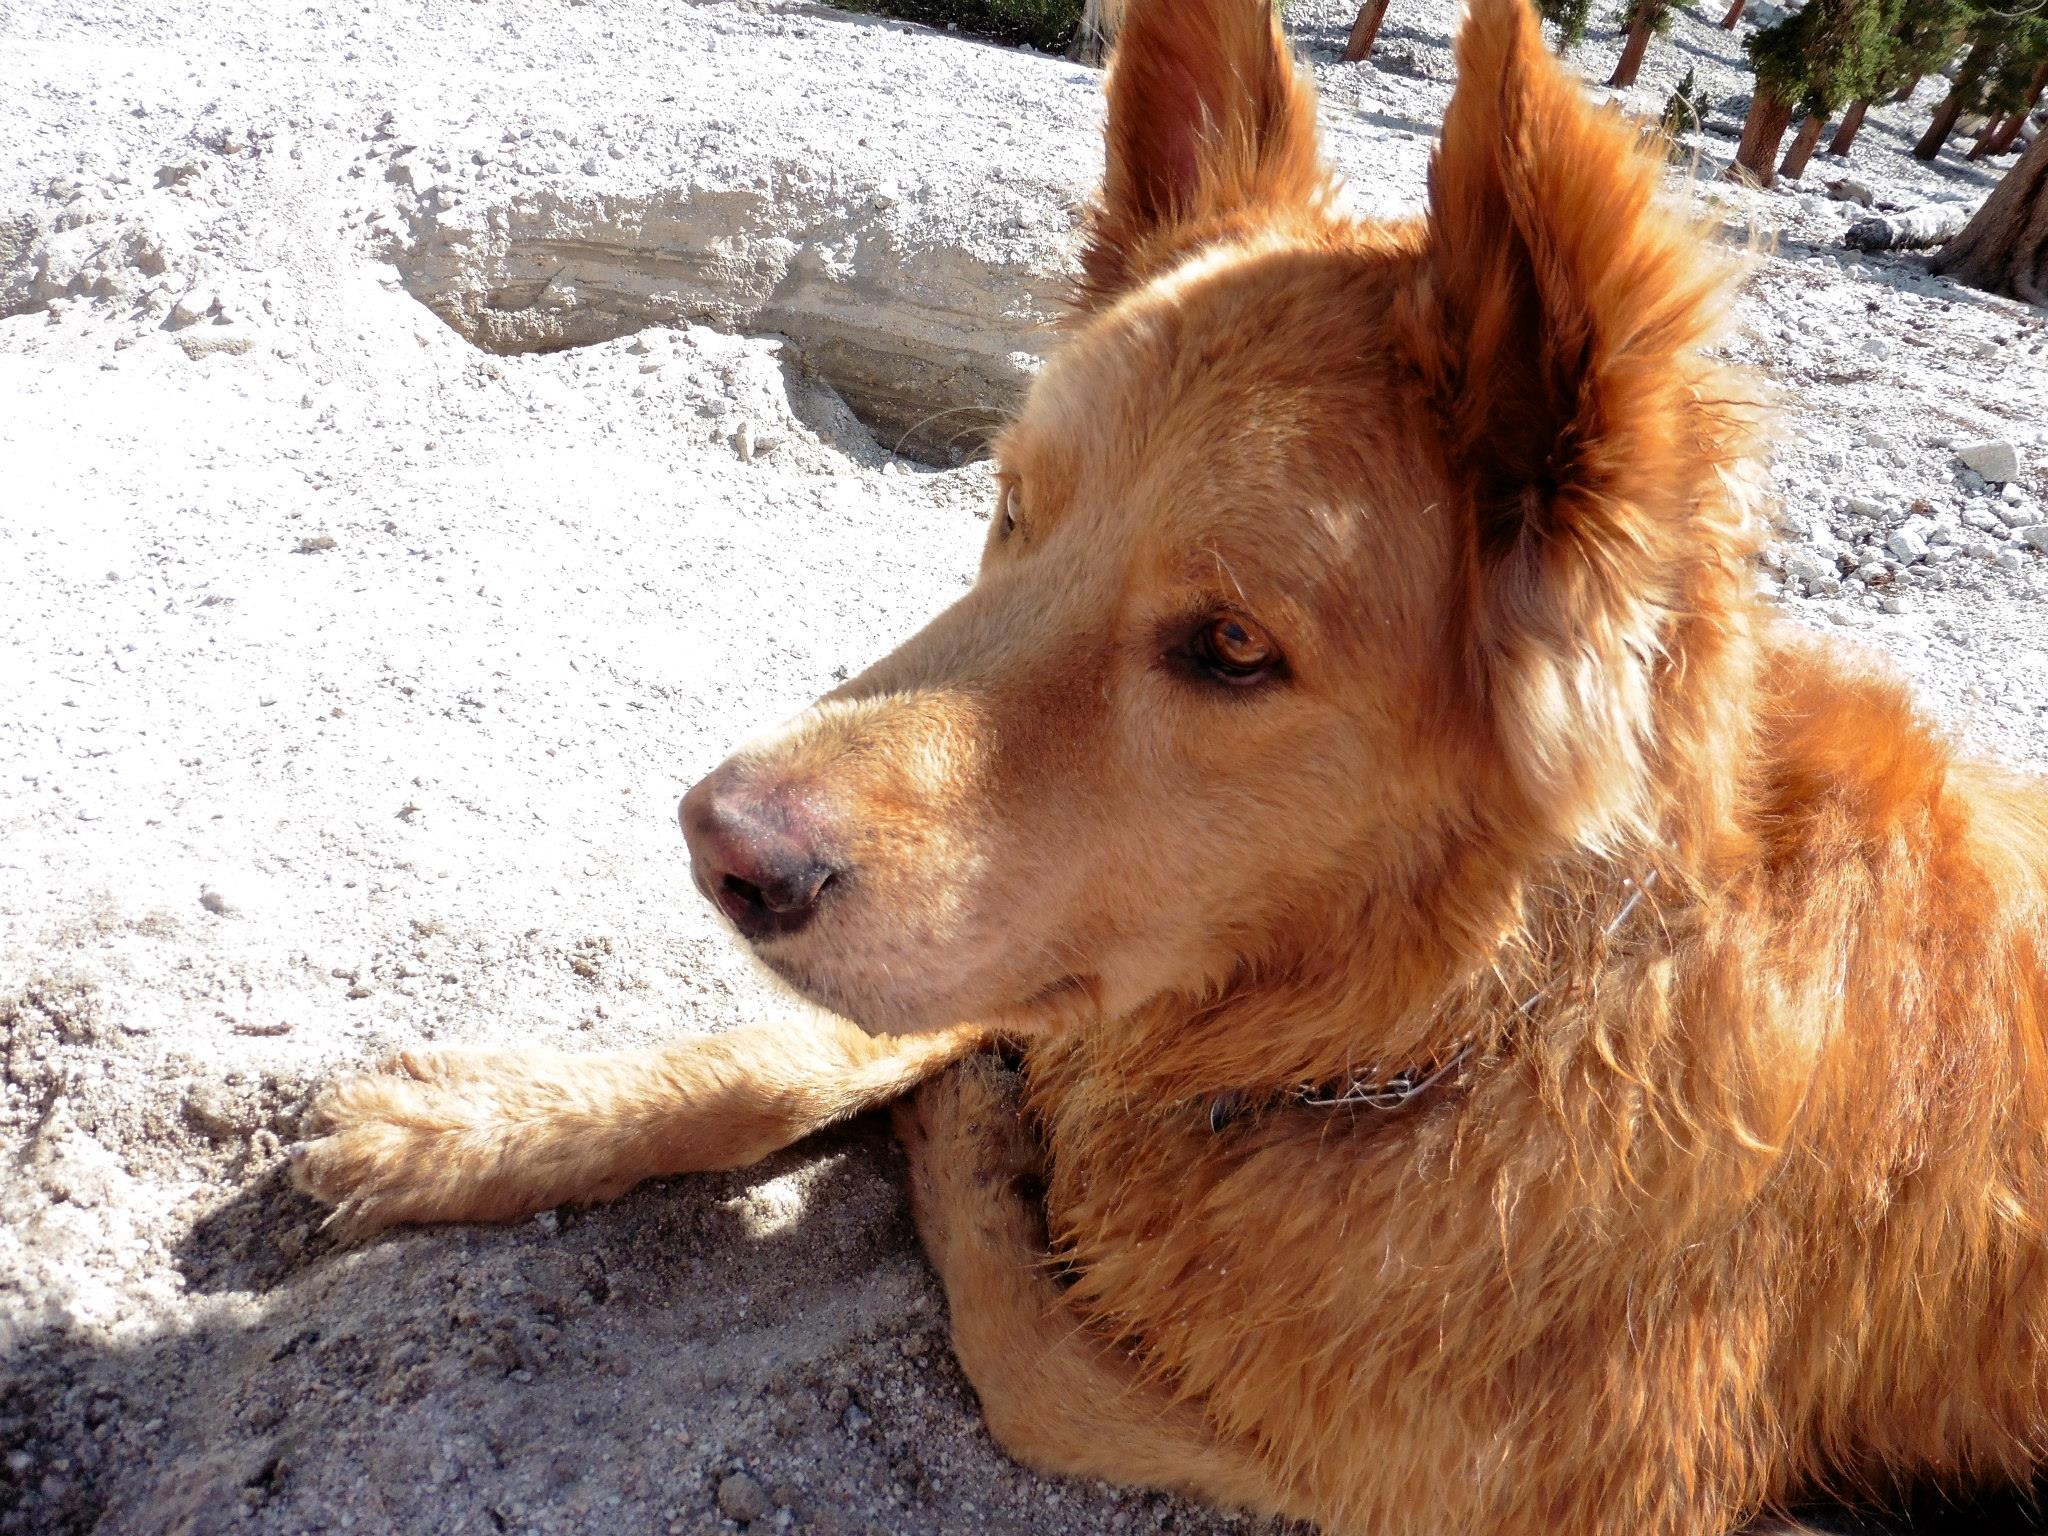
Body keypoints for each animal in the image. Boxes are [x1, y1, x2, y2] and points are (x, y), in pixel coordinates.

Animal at [296, 6, 2048, 1531]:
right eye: (1011, 507)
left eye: (1231, 648)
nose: (719, 847)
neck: (1464, 1023)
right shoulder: (1074, 957)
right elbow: (815, 1047)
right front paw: (479, 1122)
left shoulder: (1507, 1490)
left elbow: (1039, 1367)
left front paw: (981, 1166)